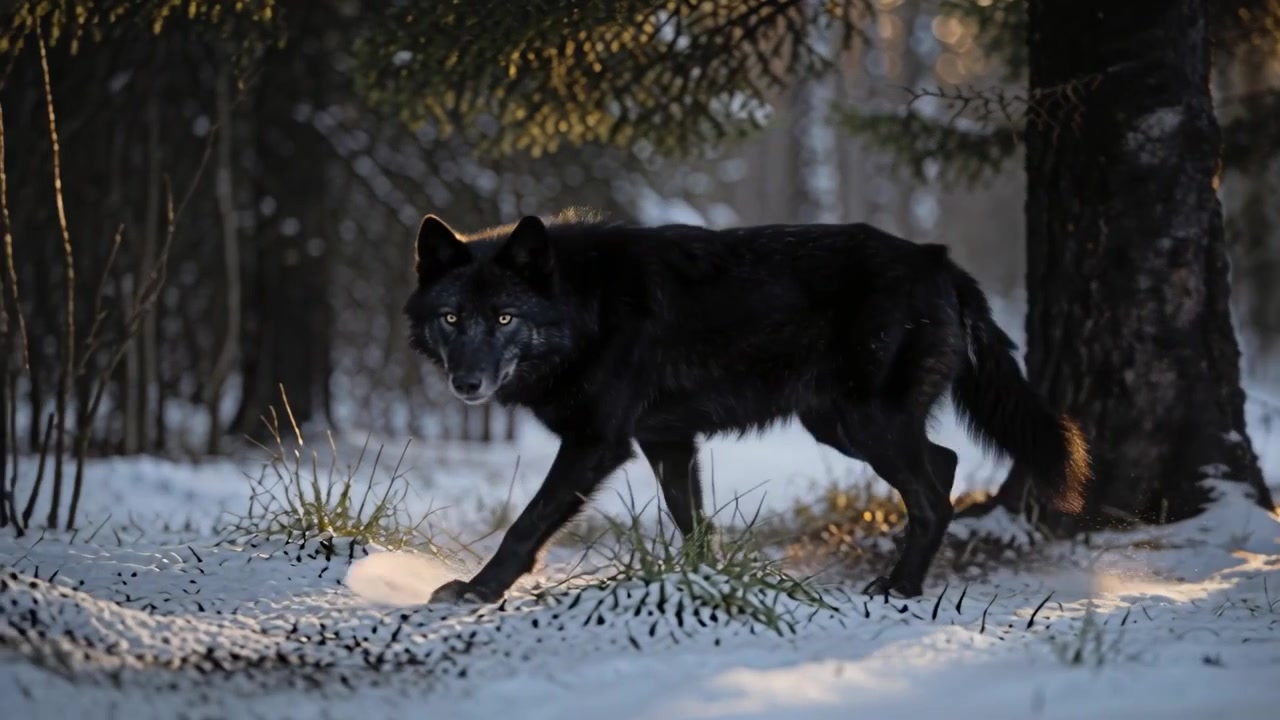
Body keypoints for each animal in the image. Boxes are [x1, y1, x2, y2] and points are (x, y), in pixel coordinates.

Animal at [402, 210, 1091, 603]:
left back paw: (901, 588)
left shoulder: (596, 442)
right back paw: (906, 579)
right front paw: (704, 582)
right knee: (944, 464)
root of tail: (940, 261)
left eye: (504, 317)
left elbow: (528, 522)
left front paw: (478, 591)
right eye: (452, 317)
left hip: (864, 423)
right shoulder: (668, 442)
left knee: (933, 495)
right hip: (839, 424)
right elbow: (693, 523)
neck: (585, 307)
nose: (467, 383)